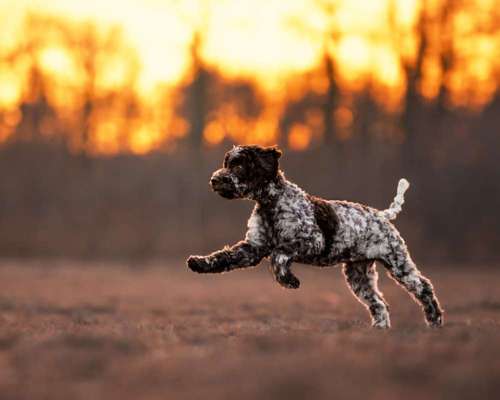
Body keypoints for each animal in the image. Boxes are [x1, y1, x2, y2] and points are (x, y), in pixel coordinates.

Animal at [186, 144, 444, 328]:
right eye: (226, 163)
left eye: (239, 166)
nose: (215, 180)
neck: (271, 203)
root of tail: (382, 215)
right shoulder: (252, 248)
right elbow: (223, 257)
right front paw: (199, 263)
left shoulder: (311, 241)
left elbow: (278, 254)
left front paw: (289, 280)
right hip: (358, 275)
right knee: (379, 304)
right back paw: (380, 330)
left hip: (397, 262)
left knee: (424, 287)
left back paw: (435, 321)